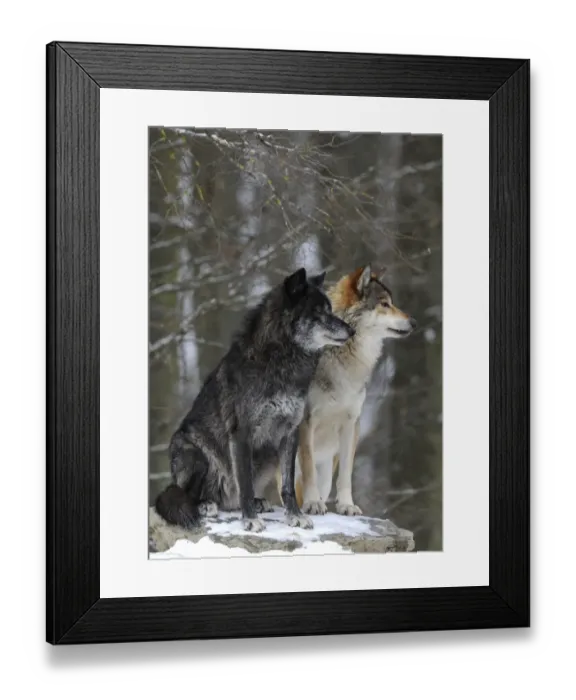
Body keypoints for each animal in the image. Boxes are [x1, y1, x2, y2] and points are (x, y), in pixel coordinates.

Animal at [155, 267, 355, 533]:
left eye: (330, 309)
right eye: (319, 312)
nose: (352, 331)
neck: (281, 361)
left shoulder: (290, 432)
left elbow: (288, 487)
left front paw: (295, 516)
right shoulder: (241, 434)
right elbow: (246, 485)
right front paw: (250, 520)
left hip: (269, 457)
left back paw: (257, 503)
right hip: (192, 451)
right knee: (184, 493)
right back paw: (206, 504)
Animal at [294, 264, 417, 517]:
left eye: (392, 302)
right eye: (384, 304)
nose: (414, 322)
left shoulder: (351, 423)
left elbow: (346, 476)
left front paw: (346, 505)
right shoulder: (306, 421)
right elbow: (308, 469)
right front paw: (312, 504)